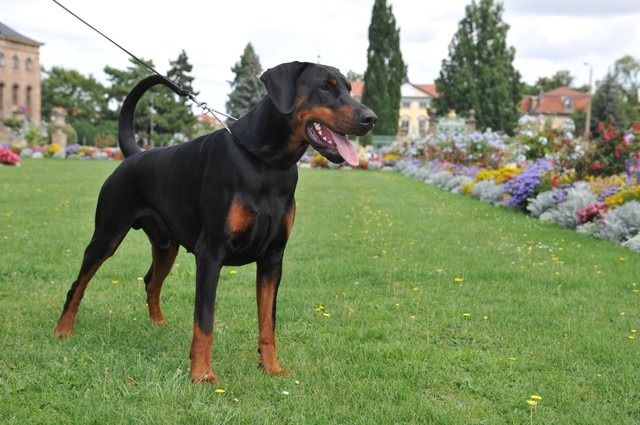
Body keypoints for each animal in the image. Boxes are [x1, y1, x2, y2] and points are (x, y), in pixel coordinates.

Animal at [55, 61, 378, 382]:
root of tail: (134, 155)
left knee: (150, 281)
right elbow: (205, 321)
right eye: (325, 87)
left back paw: (158, 323)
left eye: (349, 88)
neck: (266, 164)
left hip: (166, 245)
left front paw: (272, 368)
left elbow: (267, 322)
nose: (371, 118)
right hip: (107, 235)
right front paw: (201, 375)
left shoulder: (273, 257)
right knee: (78, 284)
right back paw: (63, 330)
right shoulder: (211, 254)